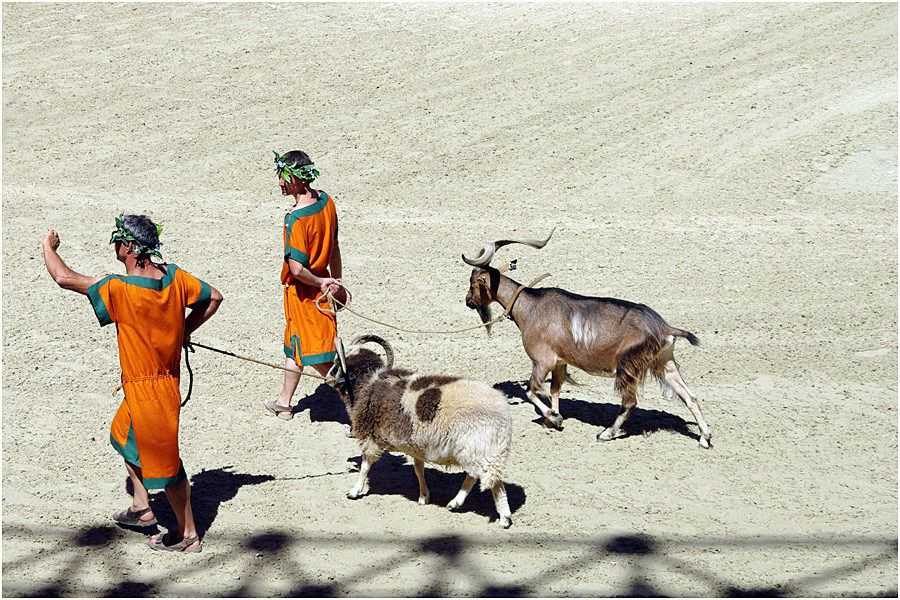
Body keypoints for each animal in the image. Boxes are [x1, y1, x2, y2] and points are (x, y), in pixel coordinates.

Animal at [464, 232, 712, 448]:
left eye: (473, 283)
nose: (467, 300)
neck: (530, 307)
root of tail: (664, 328)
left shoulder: (542, 360)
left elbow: (531, 391)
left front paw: (553, 418)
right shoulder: (560, 362)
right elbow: (554, 390)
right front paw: (553, 418)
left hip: (628, 365)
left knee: (629, 403)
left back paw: (606, 433)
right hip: (664, 362)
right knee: (690, 397)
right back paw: (705, 438)